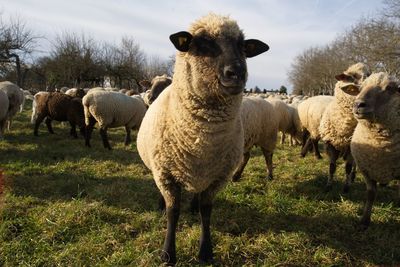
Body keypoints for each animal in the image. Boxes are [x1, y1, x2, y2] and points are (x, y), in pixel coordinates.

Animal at [136, 13, 270, 266]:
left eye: (243, 46)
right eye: (203, 43)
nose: (237, 73)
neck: (202, 141)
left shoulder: (218, 177)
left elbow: (206, 212)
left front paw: (205, 252)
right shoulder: (165, 174)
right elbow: (173, 212)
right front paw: (168, 254)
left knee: (197, 195)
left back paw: (193, 205)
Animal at [318, 62, 372, 193]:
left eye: (369, 74)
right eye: (353, 75)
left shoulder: (350, 147)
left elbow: (348, 167)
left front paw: (346, 187)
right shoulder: (330, 144)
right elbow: (332, 167)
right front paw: (328, 185)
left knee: (355, 165)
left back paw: (352, 177)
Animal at [340, 72, 400, 229]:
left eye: (390, 88)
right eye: (360, 88)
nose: (358, 104)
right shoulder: (366, 168)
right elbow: (371, 194)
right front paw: (364, 221)